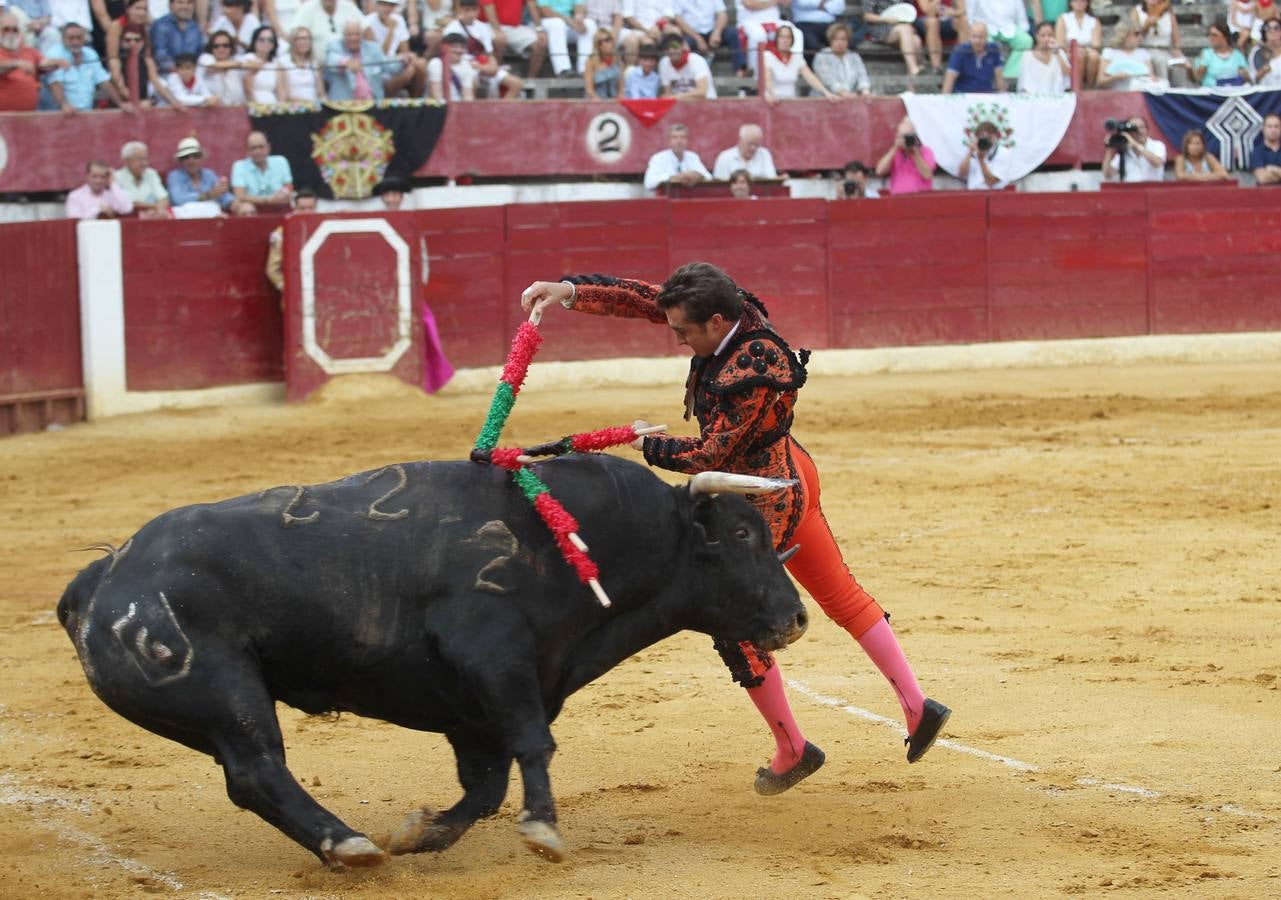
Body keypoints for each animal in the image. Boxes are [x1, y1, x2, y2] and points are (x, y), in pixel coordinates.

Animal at [60, 453, 804, 870]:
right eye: (742, 534)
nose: (795, 618)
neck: (583, 541)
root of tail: (103, 581)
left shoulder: (473, 710)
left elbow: (486, 787)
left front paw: (423, 834)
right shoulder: (493, 657)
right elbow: (533, 744)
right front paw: (543, 832)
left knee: (249, 777)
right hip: (226, 692)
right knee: (257, 770)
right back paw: (348, 846)